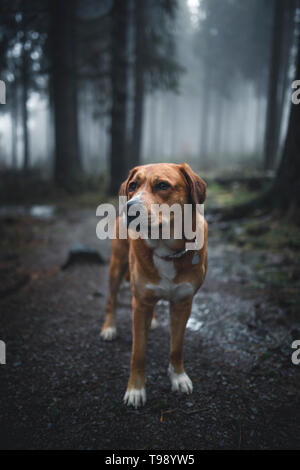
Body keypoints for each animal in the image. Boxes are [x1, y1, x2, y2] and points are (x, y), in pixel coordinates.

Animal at [99, 162, 207, 408]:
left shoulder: (183, 303)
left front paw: (178, 377)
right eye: (132, 185)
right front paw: (136, 389)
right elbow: (138, 354)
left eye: (163, 185)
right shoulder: (139, 304)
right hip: (116, 266)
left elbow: (177, 347)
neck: (165, 248)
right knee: (111, 299)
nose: (129, 209)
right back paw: (109, 327)